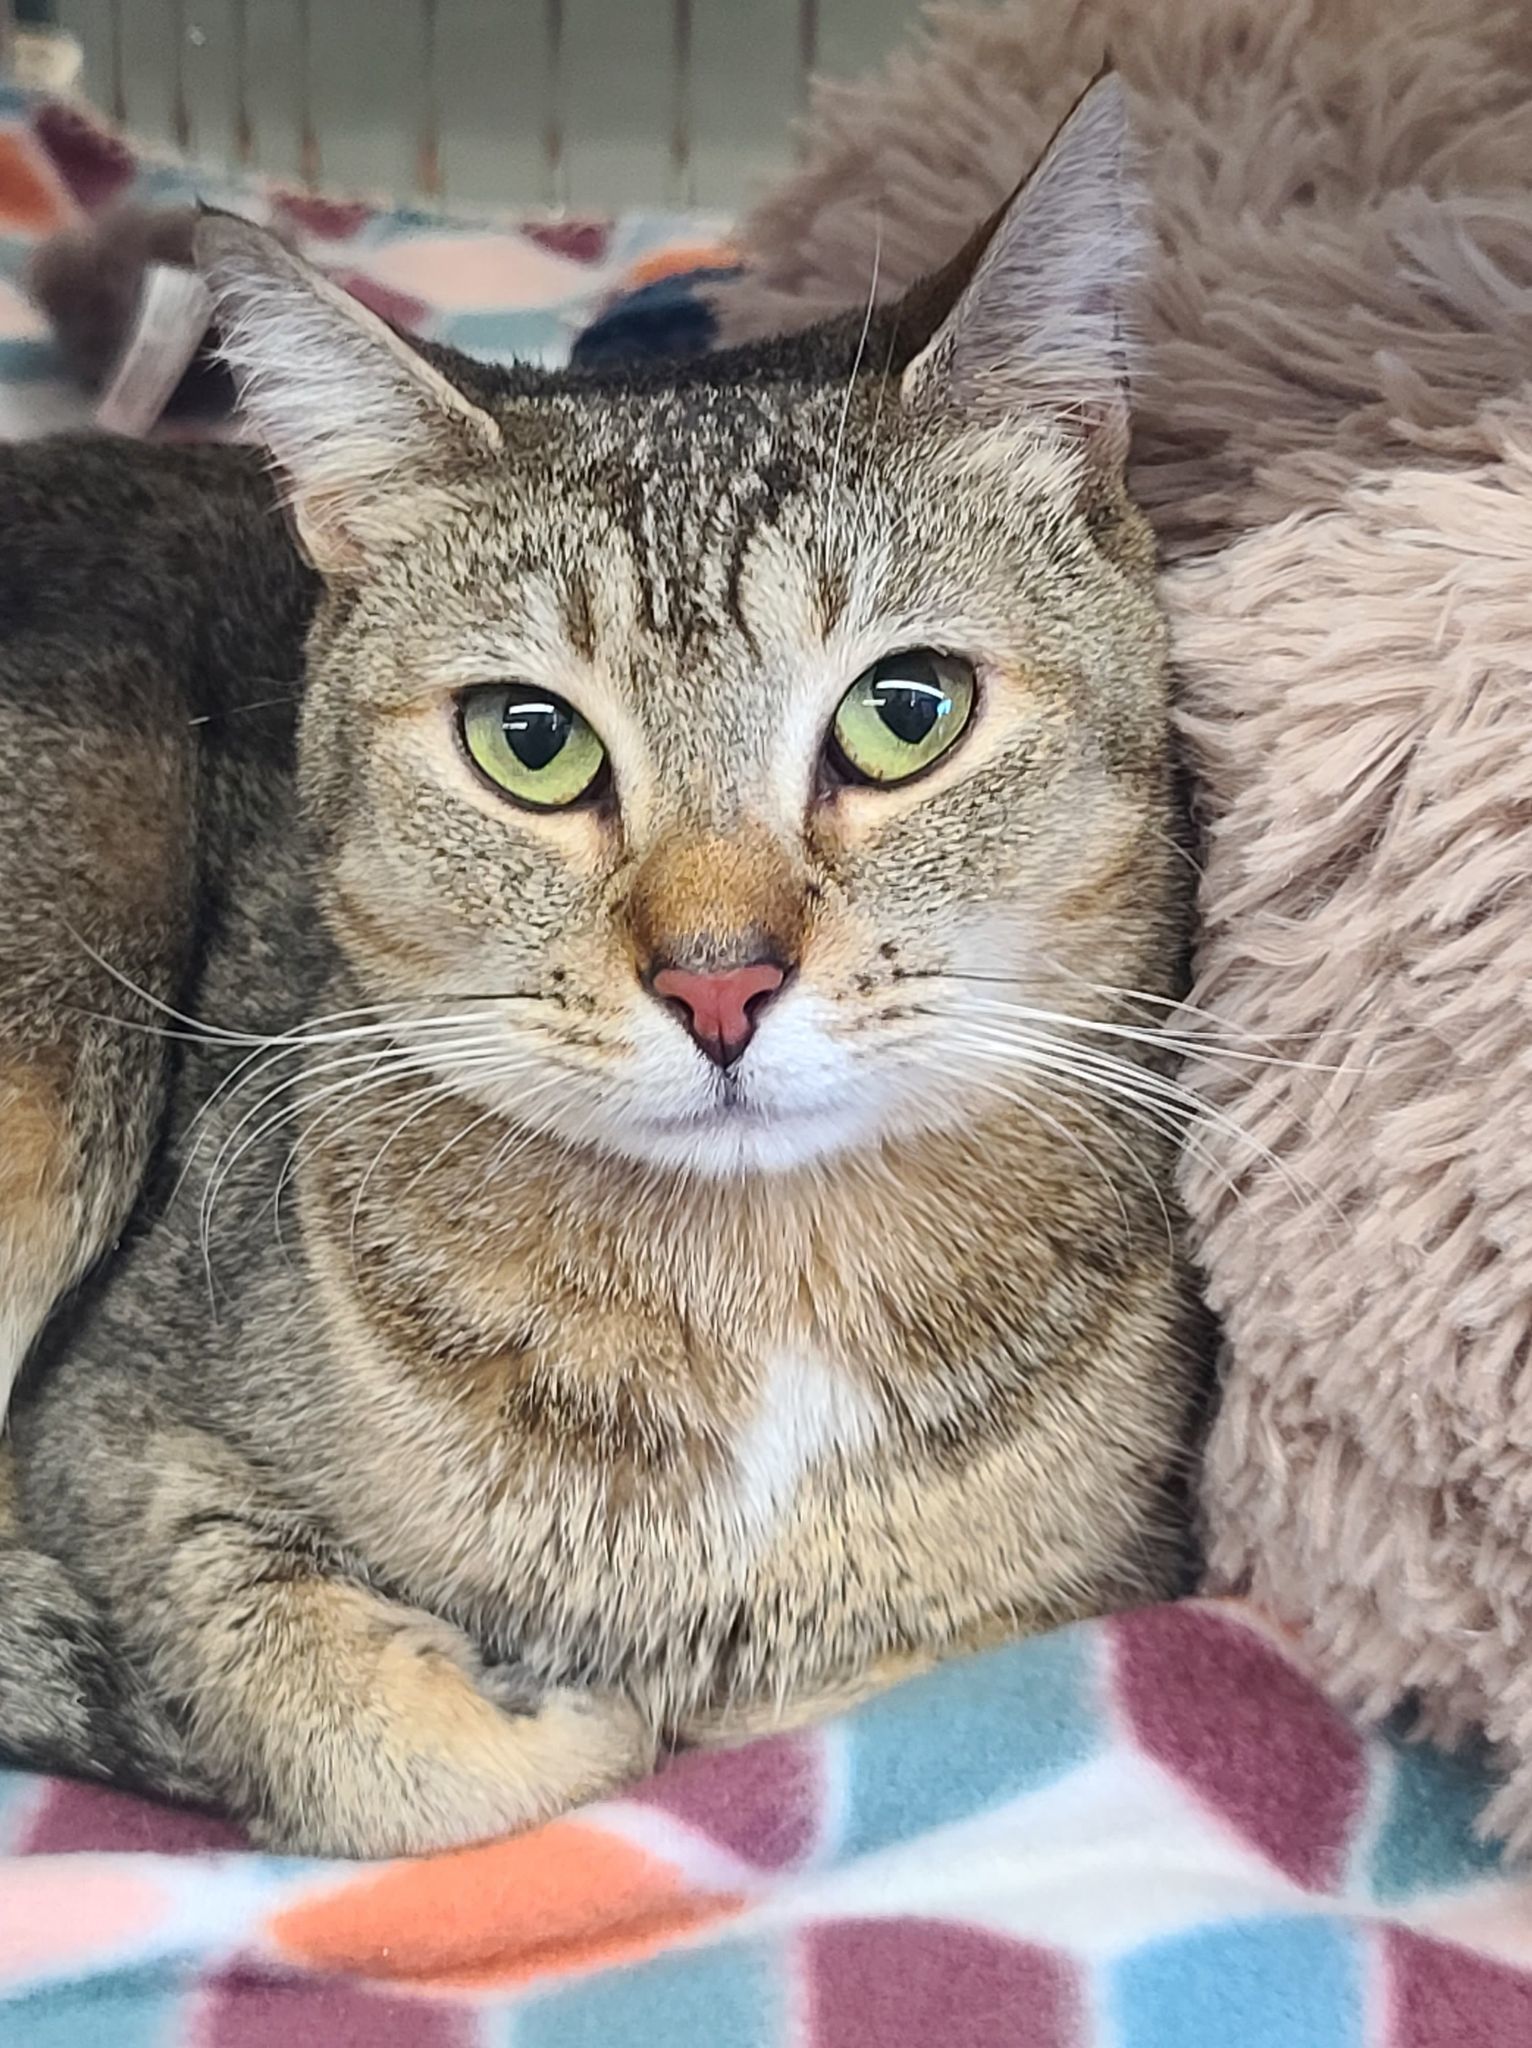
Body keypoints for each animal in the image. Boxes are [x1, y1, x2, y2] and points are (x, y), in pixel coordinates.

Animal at [0, 79, 1204, 1851]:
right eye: (531, 741)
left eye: (907, 711)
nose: (719, 983)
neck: (761, 1297)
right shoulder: (110, 1437)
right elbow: (389, 1744)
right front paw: (552, 1717)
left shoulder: (1083, 1584)